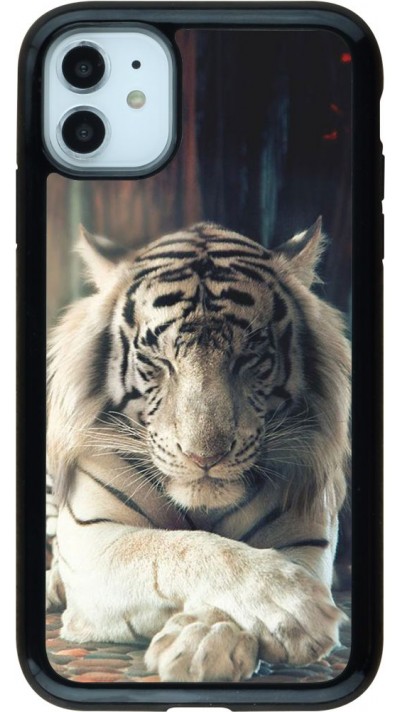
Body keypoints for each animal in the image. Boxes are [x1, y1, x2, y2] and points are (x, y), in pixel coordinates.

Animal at [46, 217, 351, 682]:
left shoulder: (305, 539)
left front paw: (205, 641)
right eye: (158, 361)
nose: (204, 457)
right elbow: (180, 547)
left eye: (250, 357)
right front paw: (292, 607)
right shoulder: (94, 539)